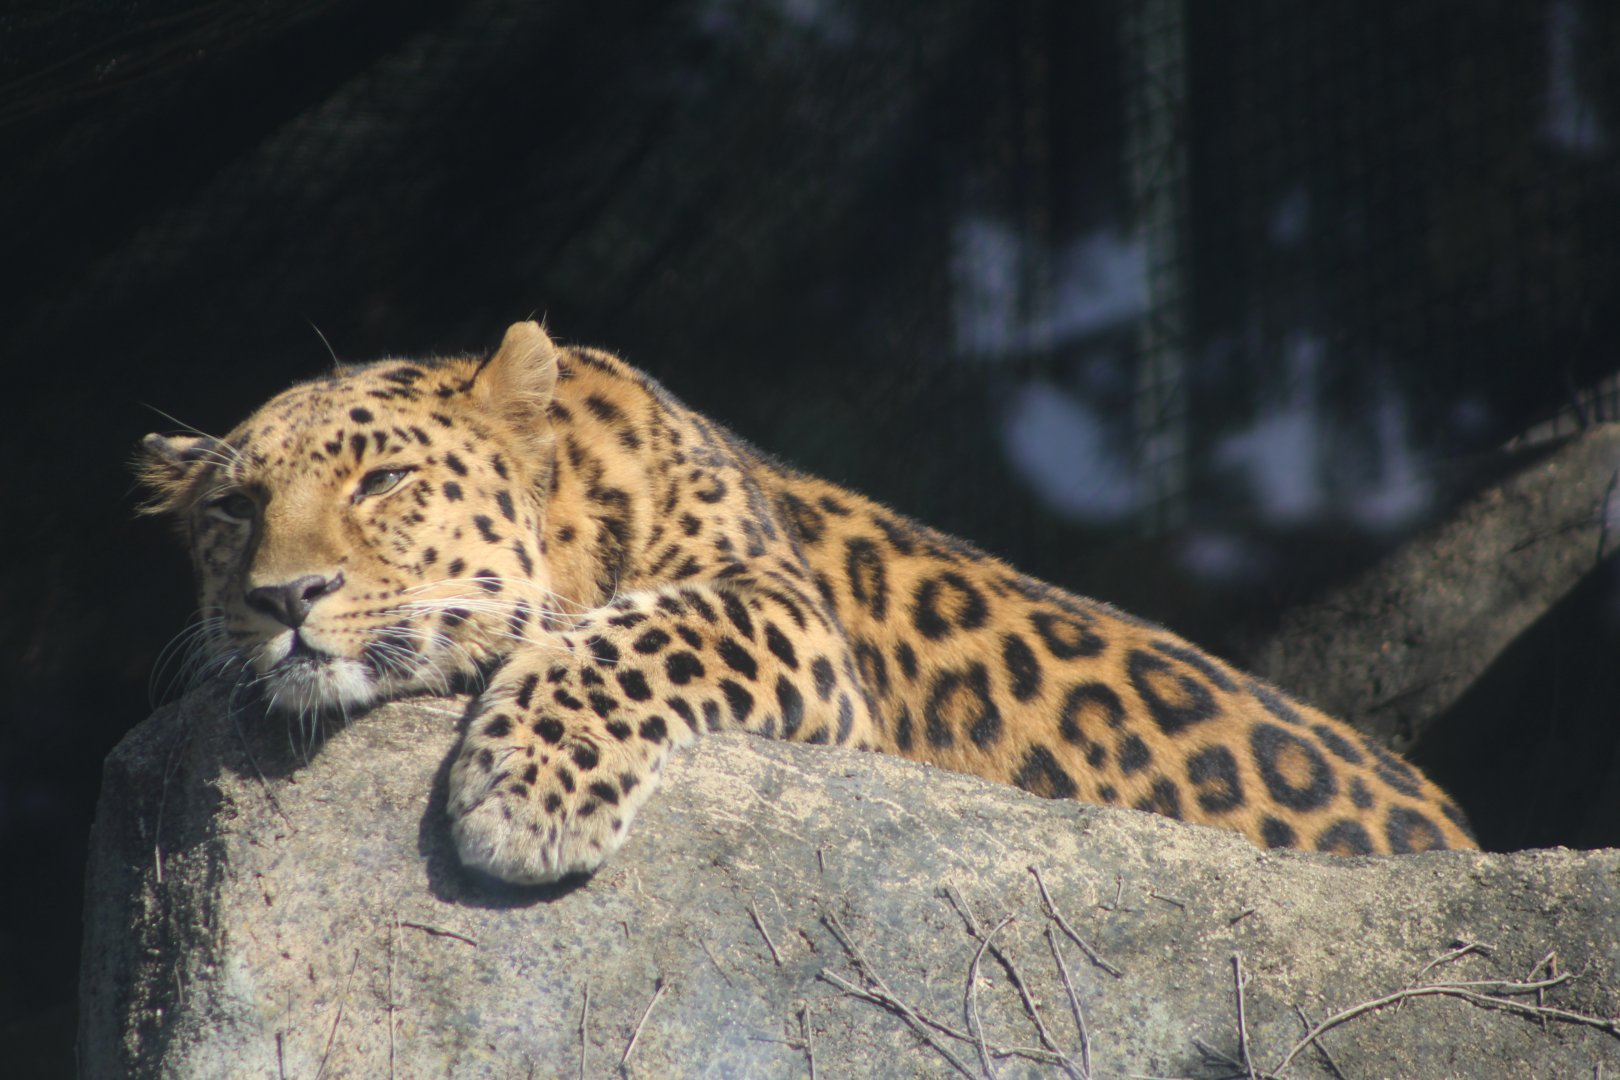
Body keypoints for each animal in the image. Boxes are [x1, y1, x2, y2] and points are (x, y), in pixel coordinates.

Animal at [137, 321, 1476, 884]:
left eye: (383, 481)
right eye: (234, 509)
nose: (286, 596)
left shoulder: (783, 617)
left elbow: (637, 634)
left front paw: (524, 798)